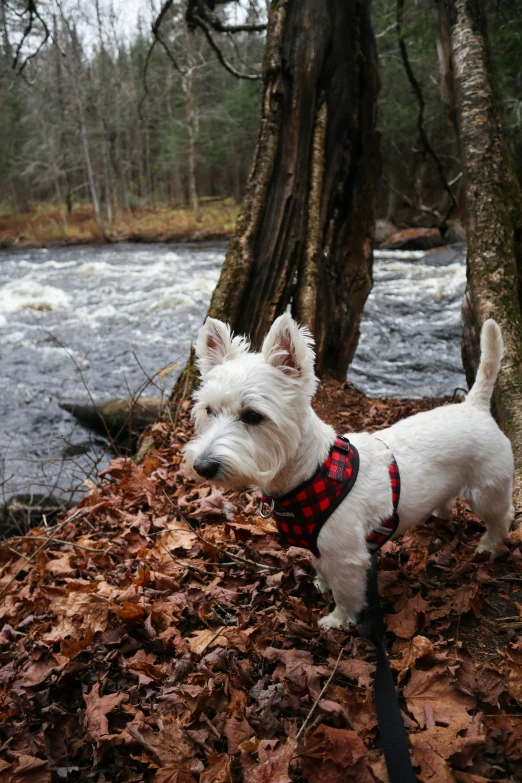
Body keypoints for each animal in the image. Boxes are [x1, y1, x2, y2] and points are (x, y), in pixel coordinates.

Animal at [184, 316, 512, 628]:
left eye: (253, 415)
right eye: (208, 410)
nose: (202, 466)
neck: (308, 475)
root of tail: (475, 406)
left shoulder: (348, 556)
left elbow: (347, 591)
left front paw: (339, 619)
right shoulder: (318, 547)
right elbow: (322, 569)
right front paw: (321, 584)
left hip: (487, 490)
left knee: (501, 518)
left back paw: (487, 547)